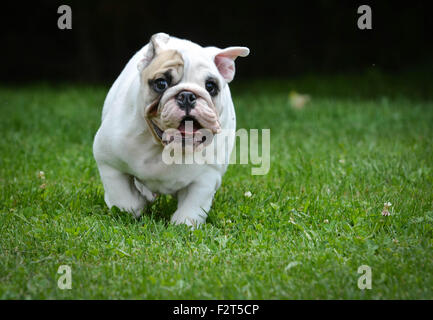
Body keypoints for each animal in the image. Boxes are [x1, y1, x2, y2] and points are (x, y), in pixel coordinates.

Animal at [93, 33, 250, 228]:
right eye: (161, 83)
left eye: (210, 86)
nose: (187, 95)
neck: (164, 147)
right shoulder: (108, 161)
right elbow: (123, 197)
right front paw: (132, 206)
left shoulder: (206, 177)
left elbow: (194, 204)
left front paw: (184, 224)